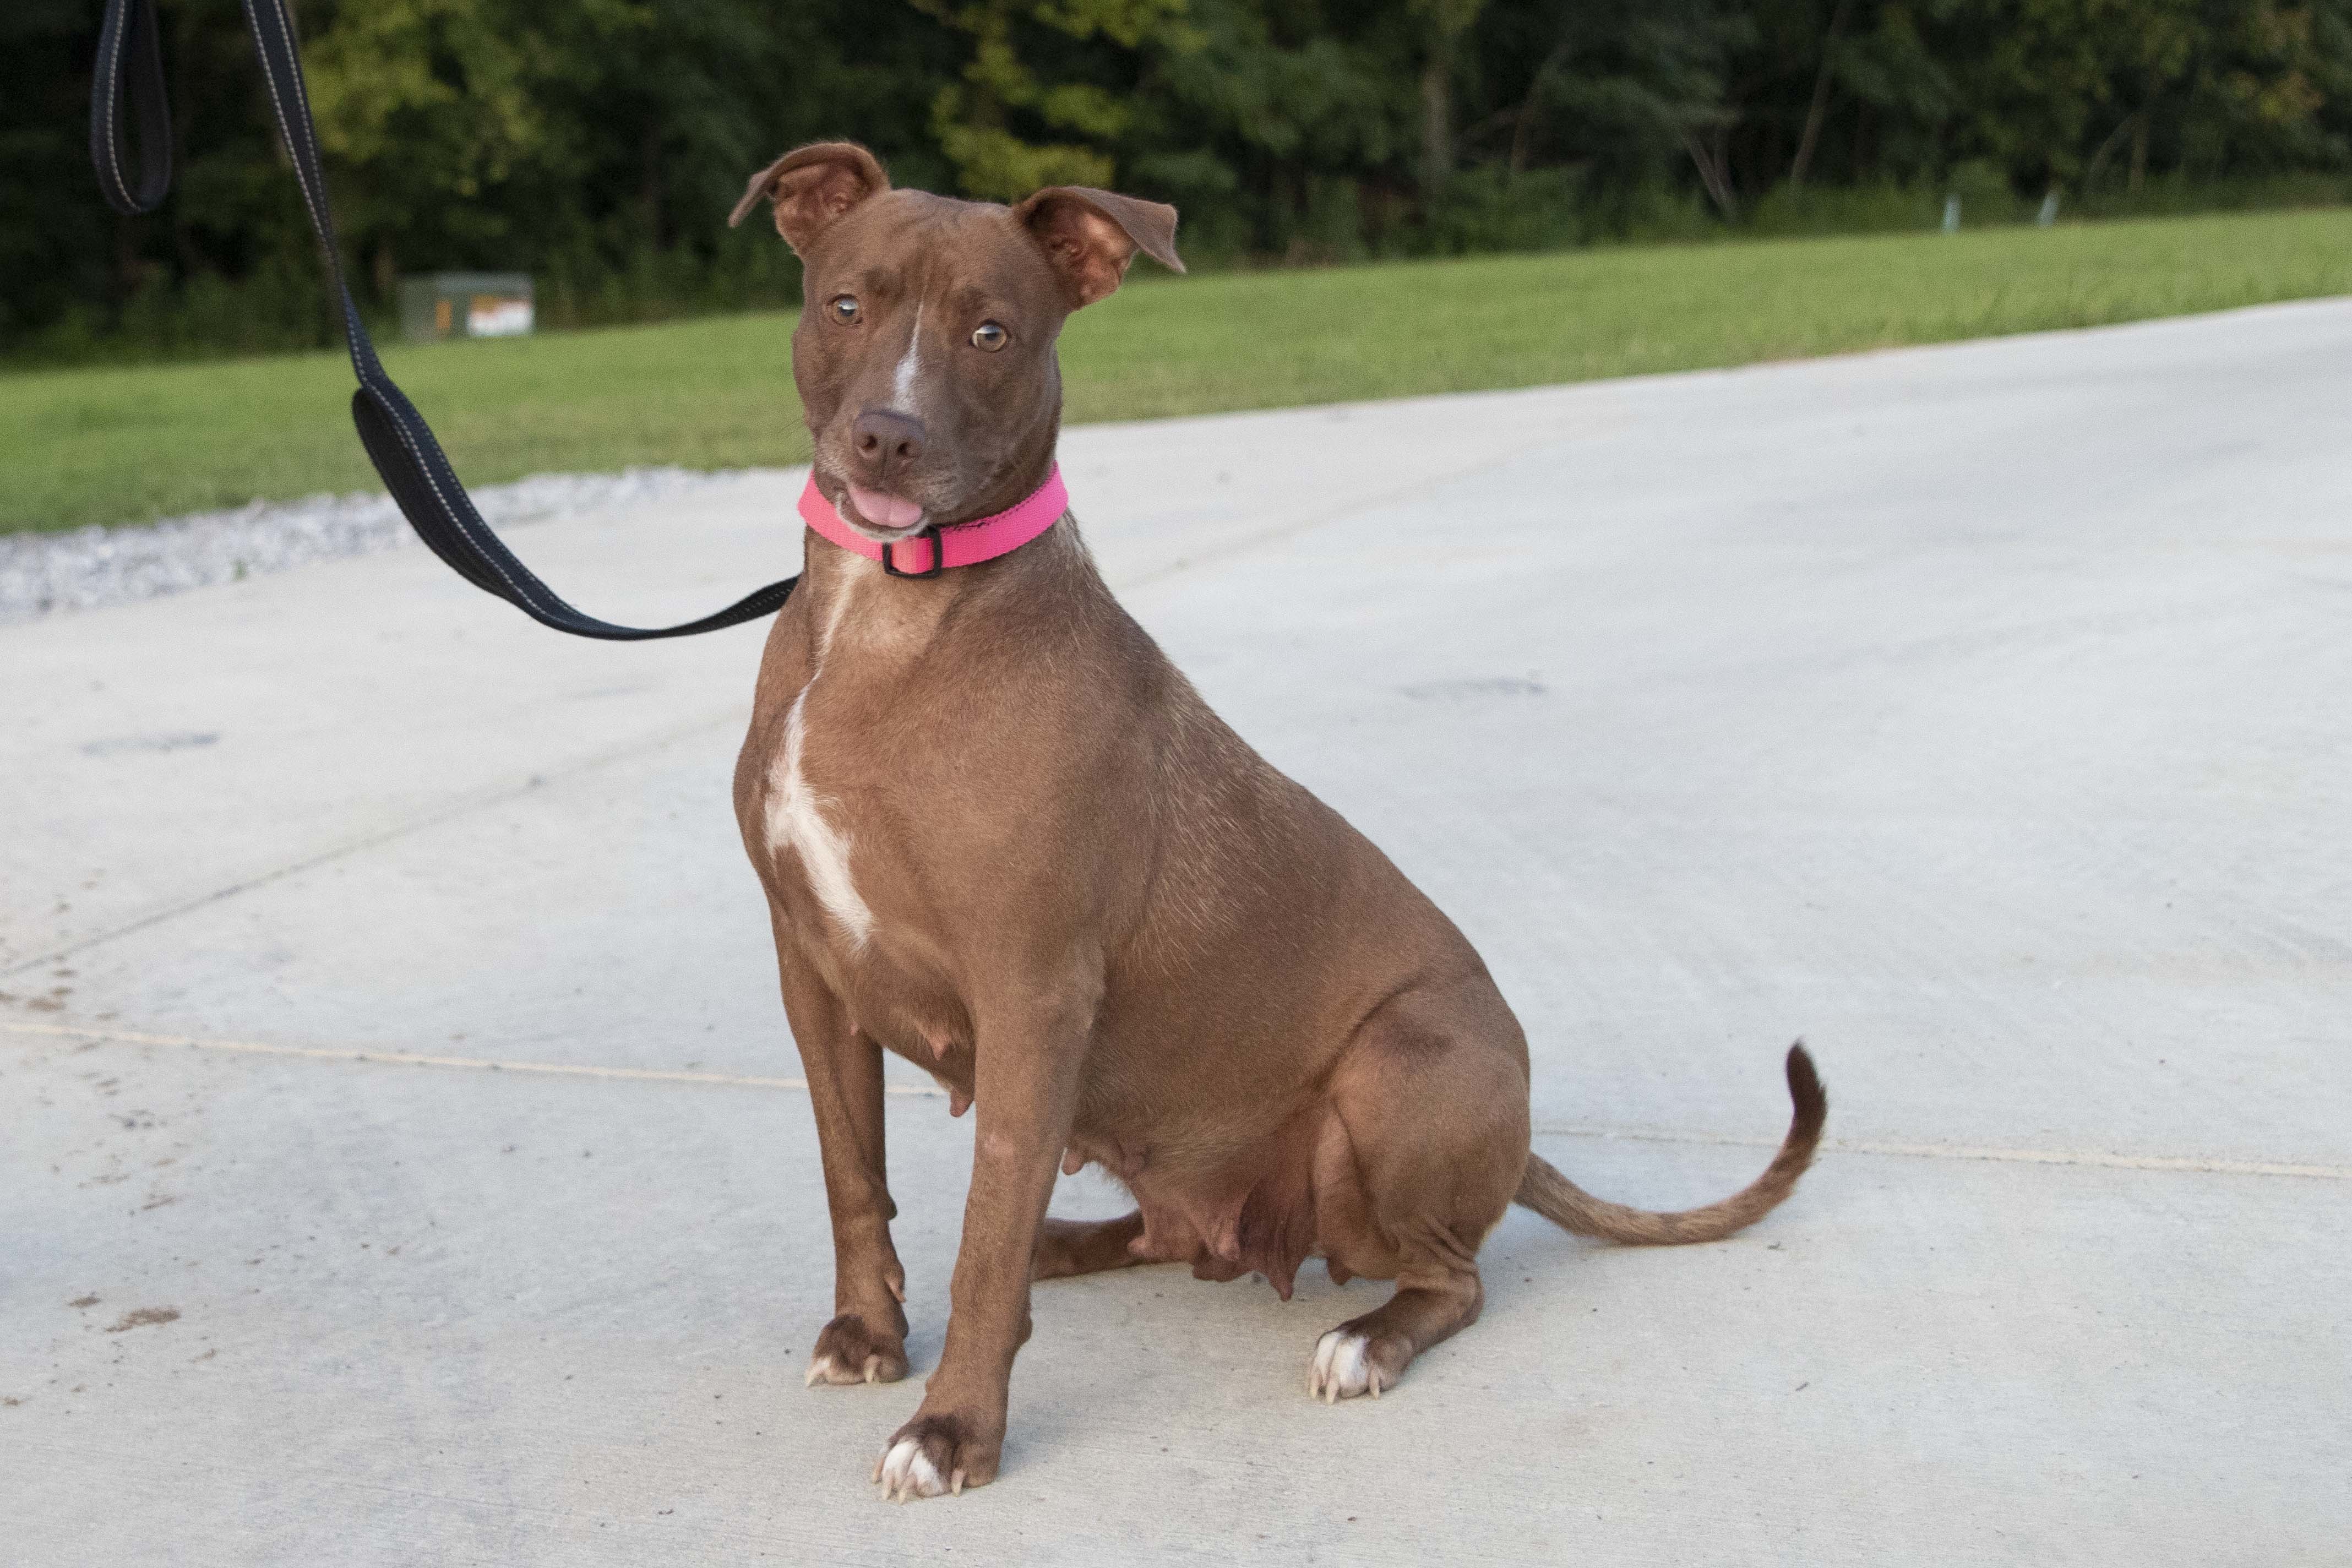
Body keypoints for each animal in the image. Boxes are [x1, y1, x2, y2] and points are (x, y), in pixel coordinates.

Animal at [724, 146, 1825, 1504]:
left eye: (992, 333)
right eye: (845, 305)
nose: (889, 434)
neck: (889, 618)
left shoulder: (1032, 993)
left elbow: (980, 1237)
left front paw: (955, 1428)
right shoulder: (813, 972)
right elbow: (854, 1173)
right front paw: (872, 1333)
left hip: (1395, 1072)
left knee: (1450, 1273)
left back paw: (1364, 1337)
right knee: (1144, 1223)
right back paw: (1073, 1239)